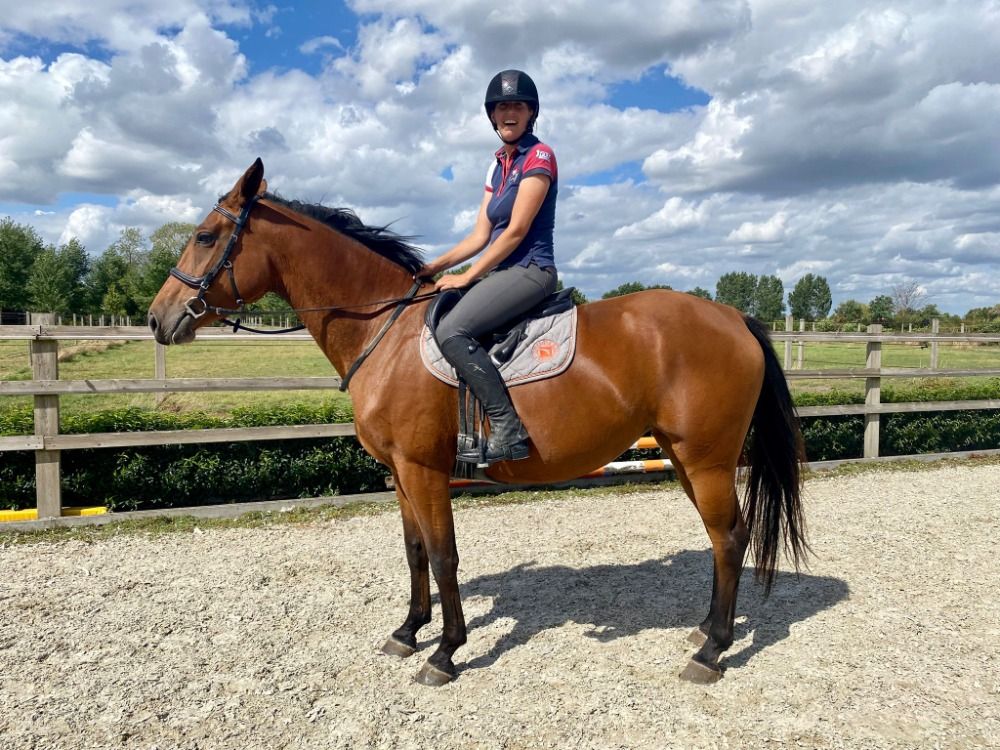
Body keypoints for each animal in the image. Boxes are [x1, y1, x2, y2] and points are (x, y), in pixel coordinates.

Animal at [148, 159, 808, 686]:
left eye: (205, 236)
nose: (159, 318)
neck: (384, 331)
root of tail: (733, 316)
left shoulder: (424, 469)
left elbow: (444, 557)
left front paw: (445, 652)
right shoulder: (401, 473)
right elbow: (414, 550)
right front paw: (408, 631)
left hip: (707, 458)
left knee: (729, 538)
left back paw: (713, 652)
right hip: (685, 457)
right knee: (725, 538)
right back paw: (704, 630)